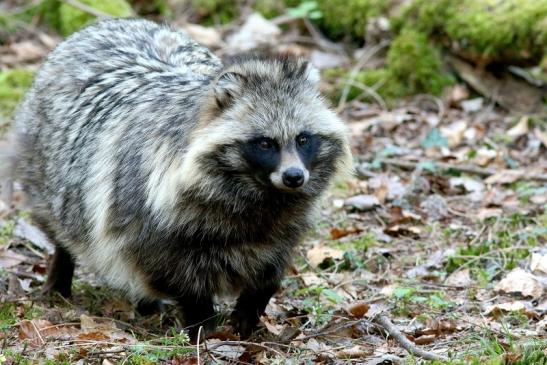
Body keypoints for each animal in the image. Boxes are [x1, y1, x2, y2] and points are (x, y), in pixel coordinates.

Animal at [12, 17, 352, 338]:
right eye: (265, 143)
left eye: (303, 139)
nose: (294, 176)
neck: (256, 196)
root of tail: (108, 23)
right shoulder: (145, 210)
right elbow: (176, 274)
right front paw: (202, 322)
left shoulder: (281, 224)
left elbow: (270, 268)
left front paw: (249, 311)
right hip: (48, 174)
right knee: (61, 226)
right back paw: (63, 271)